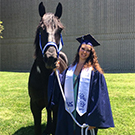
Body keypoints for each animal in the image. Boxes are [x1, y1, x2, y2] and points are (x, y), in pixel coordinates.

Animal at [28, 2, 67, 135]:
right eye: (41, 29)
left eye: (60, 29)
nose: (50, 58)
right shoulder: (35, 106)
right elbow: (37, 128)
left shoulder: (56, 106)